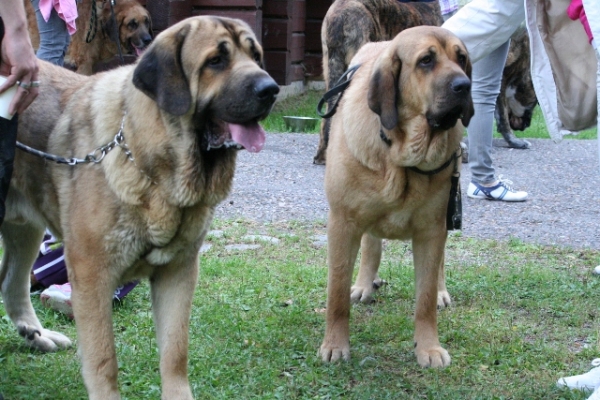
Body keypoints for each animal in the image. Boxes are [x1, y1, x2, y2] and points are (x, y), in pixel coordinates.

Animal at [1, 14, 278, 396]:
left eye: (256, 56)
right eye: (216, 61)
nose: (271, 89)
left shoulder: (178, 272)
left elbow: (175, 353)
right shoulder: (91, 276)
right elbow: (104, 360)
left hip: (25, 230)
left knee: (11, 283)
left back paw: (38, 335)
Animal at [318, 26, 474, 368]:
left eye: (461, 58)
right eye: (426, 60)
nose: (465, 85)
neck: (401, 157)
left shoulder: (431, 230)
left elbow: (424, 298)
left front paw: (429, 348)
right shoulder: (342, 223)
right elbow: (336, 294)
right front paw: (335, 345)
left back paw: (441, 293)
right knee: (371, 245)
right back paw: (364, 285)